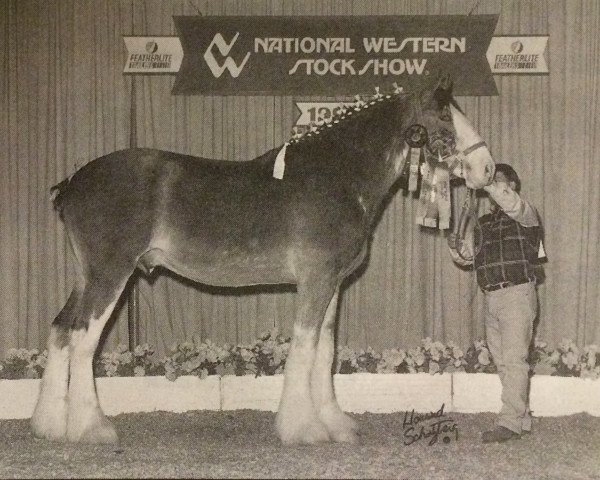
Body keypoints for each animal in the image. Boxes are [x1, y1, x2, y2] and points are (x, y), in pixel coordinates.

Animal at [30, 75, 494, 446]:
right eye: (445, 118)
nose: (487, 169)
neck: (338, 174)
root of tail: (72, 183)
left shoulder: (332, 284)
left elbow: (324, 352)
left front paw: (336, 425)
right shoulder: (315, 281)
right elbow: (305, 349)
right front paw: (303, 429)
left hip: (86, 277)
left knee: (60, 330)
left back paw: (49, 425)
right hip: (111, 274)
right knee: (83, 339)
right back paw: (91, 429)